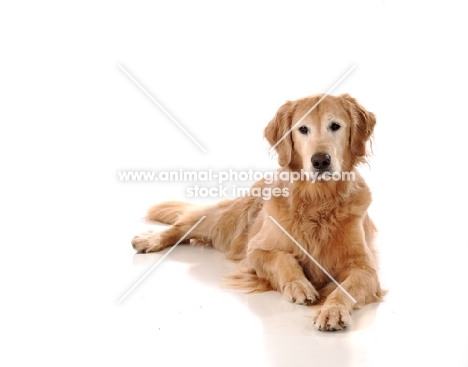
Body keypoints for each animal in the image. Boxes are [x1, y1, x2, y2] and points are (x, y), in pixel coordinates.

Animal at [131, 93, 384, 332]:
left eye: (335, 126)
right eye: (303, 129)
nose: (320, 161)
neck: (317, 200)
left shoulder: (366, 269)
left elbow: (345, 289)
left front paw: (332, 310)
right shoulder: (256, 250)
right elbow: (283, 259)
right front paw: (299, 285)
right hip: (227, 221)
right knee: (184, 225)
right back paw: (149, 240)